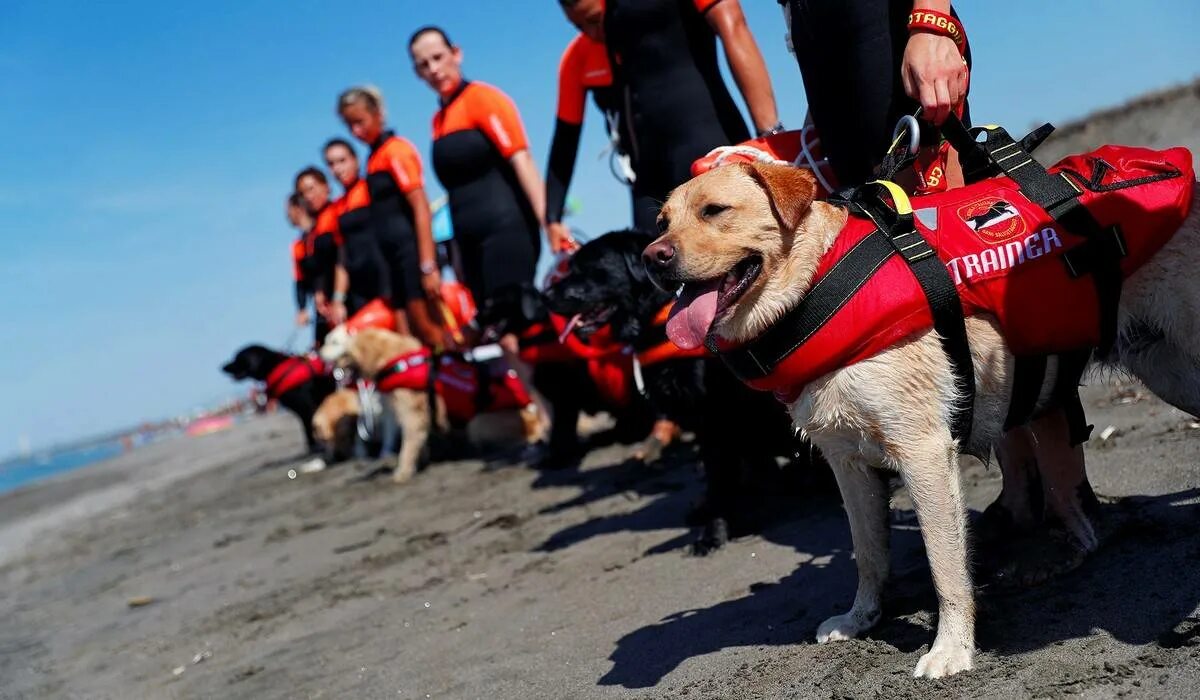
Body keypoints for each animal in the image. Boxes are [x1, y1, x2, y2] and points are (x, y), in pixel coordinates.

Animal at [648, 162, 1200, 677]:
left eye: (714, 210)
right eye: (662, 222)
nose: (653, 257)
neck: (814, 286)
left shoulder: (924, 452)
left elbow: (945, 565)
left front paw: (952, 648)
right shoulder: (846, 464)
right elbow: (869, 551)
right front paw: (861, 619)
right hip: (1160, 370)